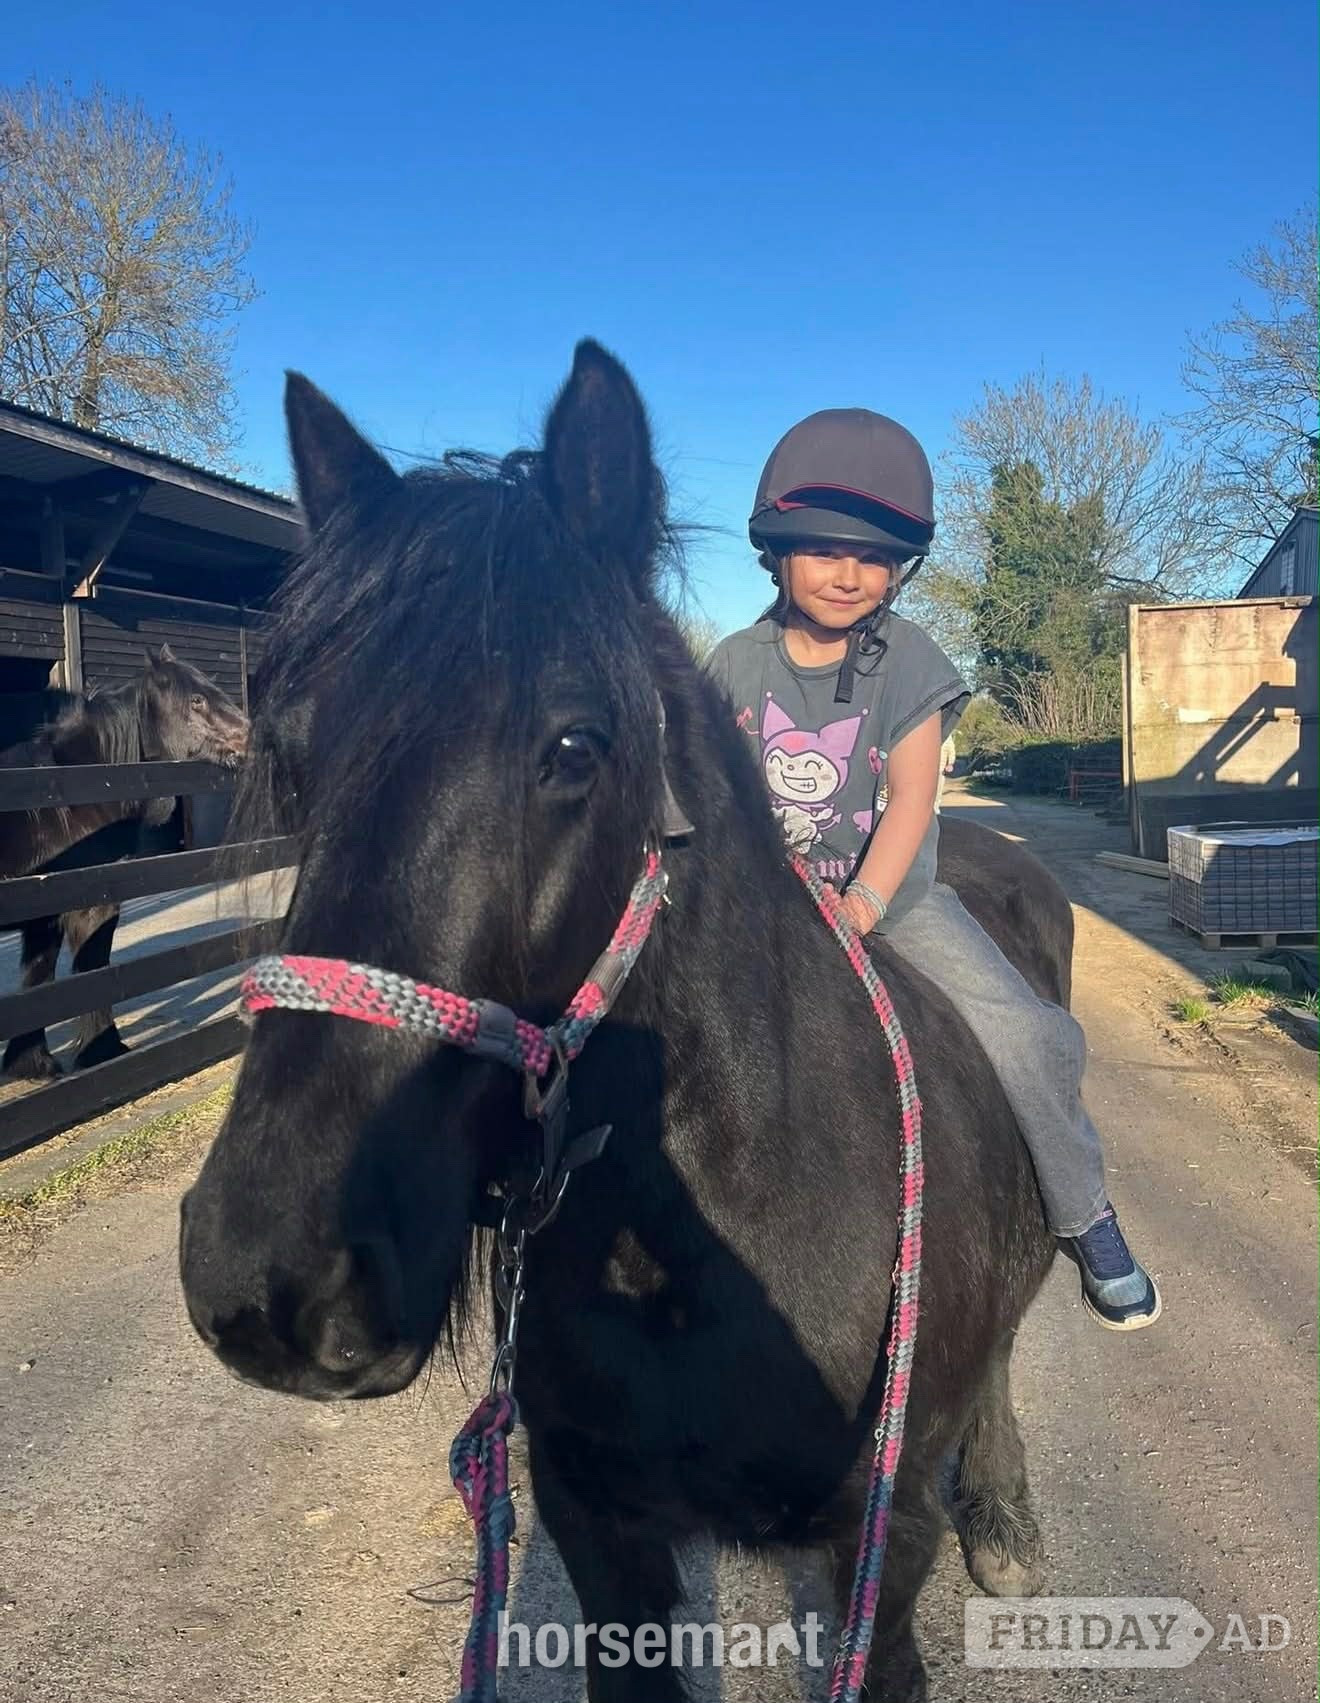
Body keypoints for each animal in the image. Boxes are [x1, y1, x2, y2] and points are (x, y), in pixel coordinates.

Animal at [0, 646, 249, 1078]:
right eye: (196, 700)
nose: (250, 737)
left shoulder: (44, 915)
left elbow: (38, 980)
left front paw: (30, 1063)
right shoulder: (84, 905)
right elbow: (91, 969)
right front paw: (103, 1050)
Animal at [179, 342, 1062, 1703]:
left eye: (575, 745)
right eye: (291, 746)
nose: (265, 1276)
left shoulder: (884, 1543)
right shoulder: (602, 1538)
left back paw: (1006, 1516)